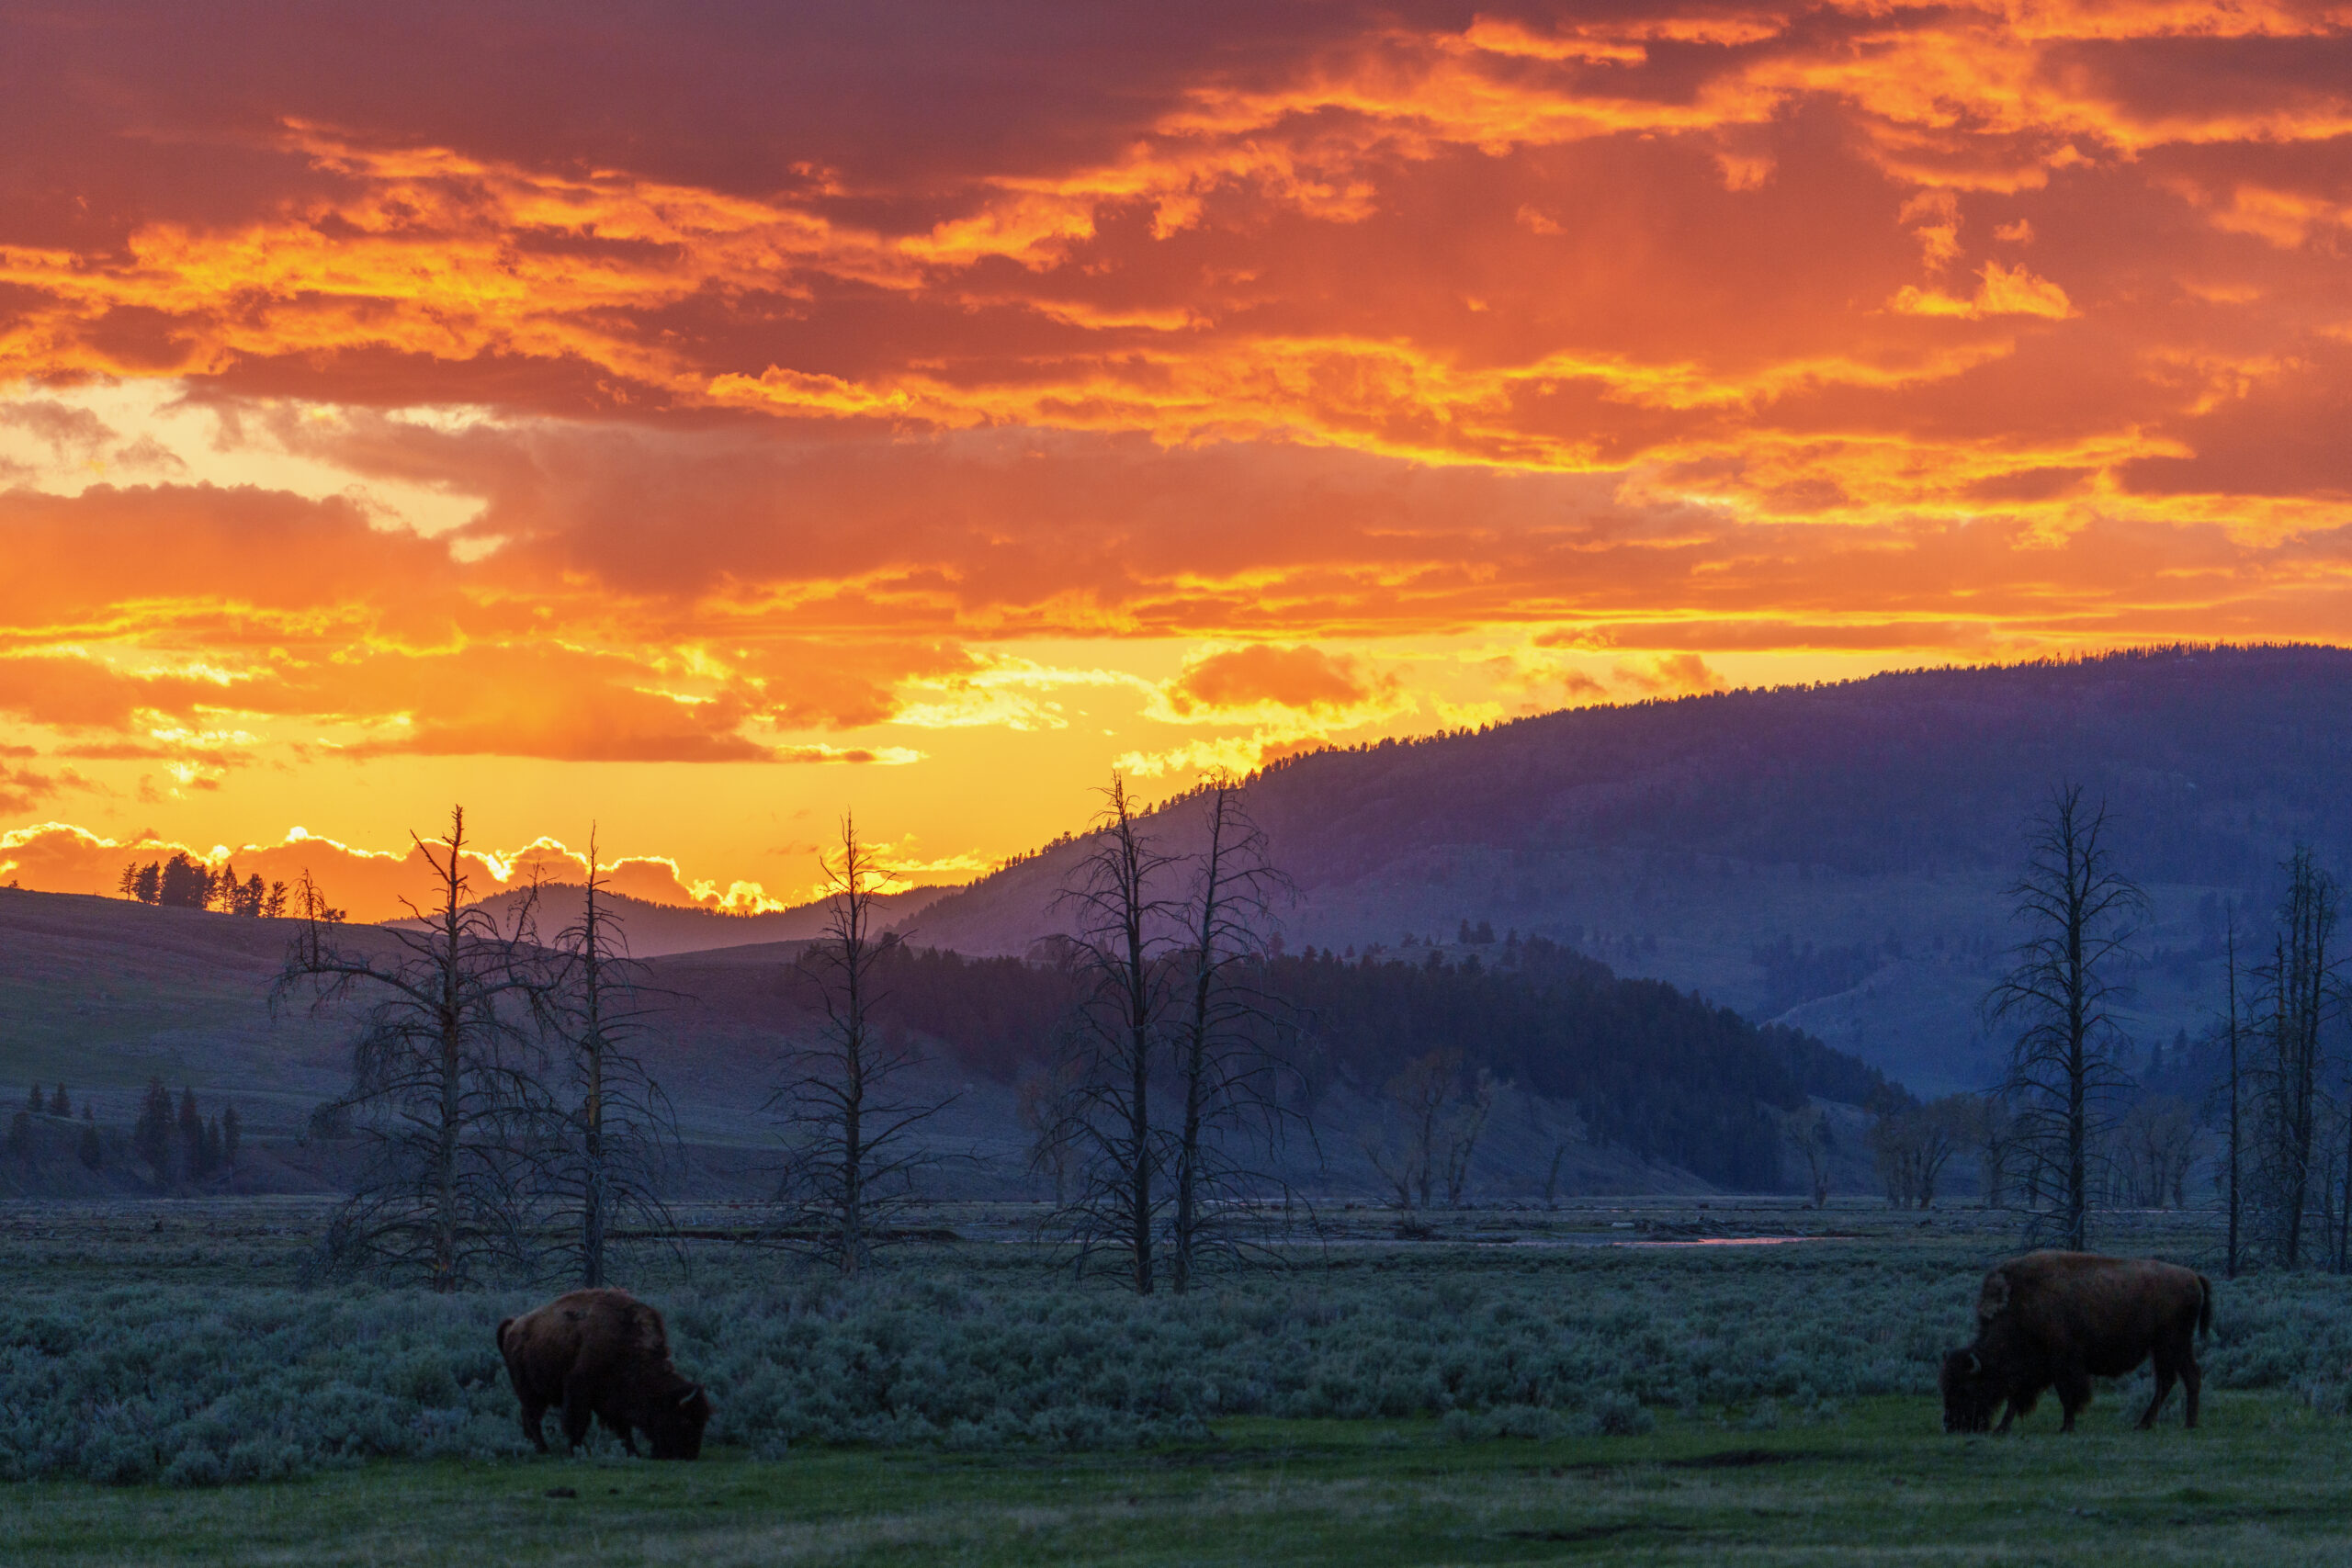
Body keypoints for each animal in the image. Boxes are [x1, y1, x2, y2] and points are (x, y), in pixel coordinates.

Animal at [501, 1288, 710, 1457]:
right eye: (685, 1420)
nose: (689, 1455)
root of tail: (514, 1326)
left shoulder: (615, 1398)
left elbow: (623, 1426)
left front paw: (633, 1452)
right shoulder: (579, 1390)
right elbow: (578, 1422)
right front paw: (576, 1450)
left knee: (527, 1416)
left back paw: (532, 1446)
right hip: (530, 1391)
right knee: (532, 1417)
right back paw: (543, 1448)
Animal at [1938, 1250, 2211, 1438]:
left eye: (1966, 1389)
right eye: (1946, 1387)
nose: (1952, 1425)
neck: (2020, 1307)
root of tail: (2192, 1276)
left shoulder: (2062, 1361)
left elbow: (2066, 1394)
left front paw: (2066, 1427)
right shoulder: (2032, 1368)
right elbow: (2016, 1397)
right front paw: (2002, 1429)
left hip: (2170, 1344)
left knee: (2171, 1379)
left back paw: (2154, 1423)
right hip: (2171, 1347)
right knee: (2184, 1377)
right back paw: (2182, 1422)